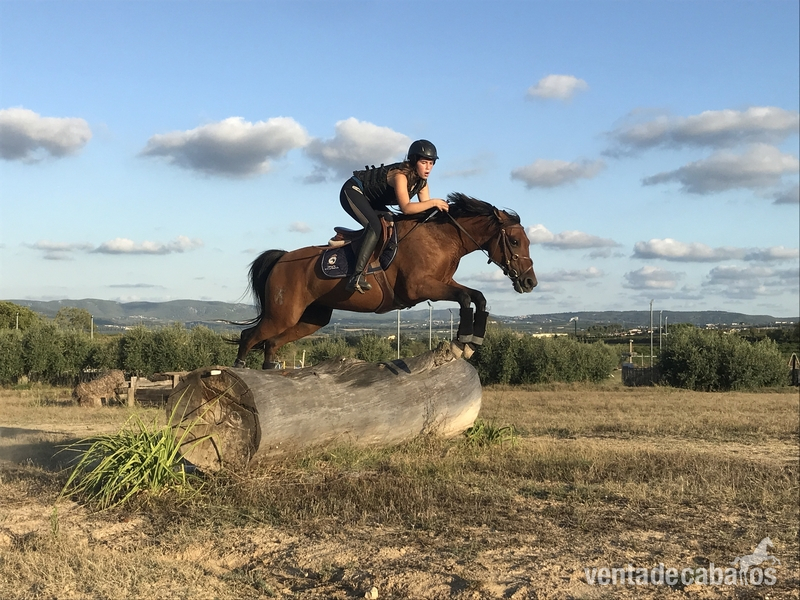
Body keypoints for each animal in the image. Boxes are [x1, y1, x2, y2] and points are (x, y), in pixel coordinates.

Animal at [233, 192, 537, 369]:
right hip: (282, 314)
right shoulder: (419, 287)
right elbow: (465, 298)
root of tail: (282, 258)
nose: (530, 282)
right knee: (249, 337)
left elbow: (478, 297)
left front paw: (473, 342)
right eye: (514, 241)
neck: (442, 238)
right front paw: (460, 341)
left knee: (271, 344)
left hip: (311, 319)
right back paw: (239, 371)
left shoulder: (441, 283)